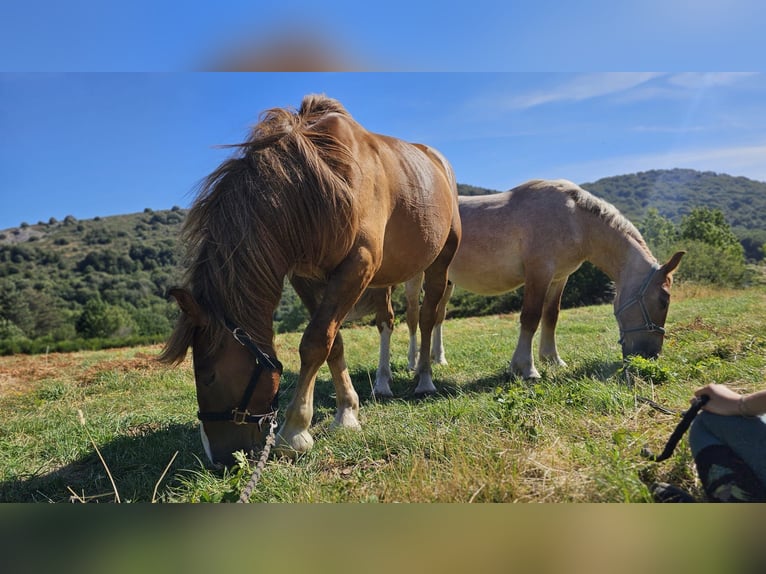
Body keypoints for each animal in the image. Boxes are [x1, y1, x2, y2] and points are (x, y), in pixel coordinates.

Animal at [159, 94, 461, 466]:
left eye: (209, 376)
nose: (219, 458)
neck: (315, 182)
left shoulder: (357, 265)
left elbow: (315, 342)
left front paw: (295, 430)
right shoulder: (306, 278)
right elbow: (333, 343)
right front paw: (347, 412)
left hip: (440, 261)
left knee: (430, 316)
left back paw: (424, 378)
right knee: (392, 321)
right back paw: (384, 381)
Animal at [368, 178, 684, 394]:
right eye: (663, 300)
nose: (650, 356)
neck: (575, 219)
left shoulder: (558, 278)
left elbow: (551, 317)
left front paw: (552, 359)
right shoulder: (539, 273)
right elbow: (530, 318)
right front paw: (527, 368)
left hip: (446, 281)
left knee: (437, 318)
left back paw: (438, 358)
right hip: (416, 277)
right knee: (412, 316)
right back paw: (412, 364)